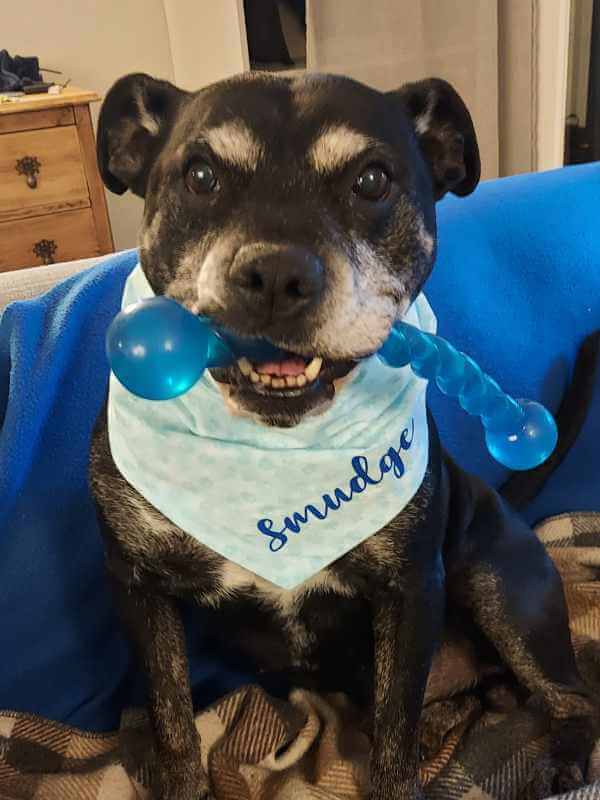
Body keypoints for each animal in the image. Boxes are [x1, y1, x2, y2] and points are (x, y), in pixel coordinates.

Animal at [88, 72, 596, 796]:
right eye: (201, 175)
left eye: (372, 180)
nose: (276, 274)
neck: (273, 450)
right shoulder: (139, 589)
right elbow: (171, 718)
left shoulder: (410, 592)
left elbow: (393, 732)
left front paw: (399, 769)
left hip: (501, 587)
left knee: (568, 697)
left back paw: (558, 758)